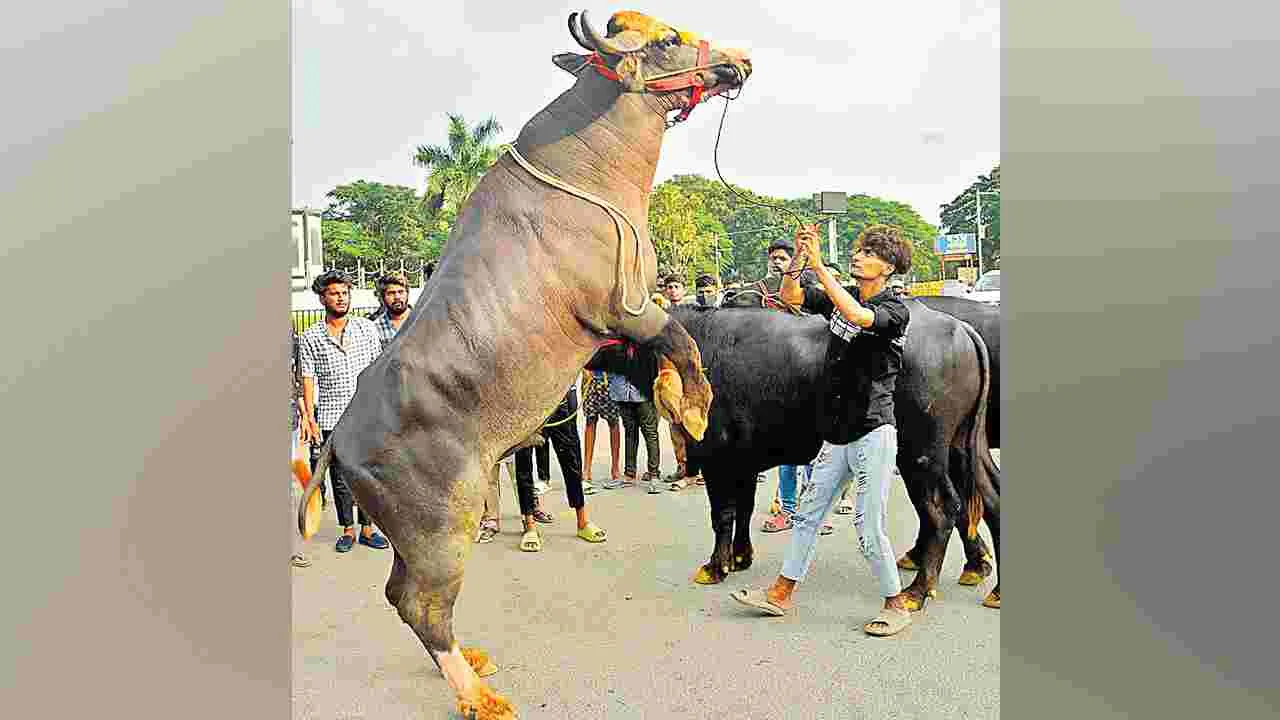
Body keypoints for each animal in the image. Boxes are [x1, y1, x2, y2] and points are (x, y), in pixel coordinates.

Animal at [293, 9, 747, 717]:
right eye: (668, 39)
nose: (738, 60)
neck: (589, 169)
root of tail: (337, 438)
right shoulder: (625, 309)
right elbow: (682, 340)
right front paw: (694, 409)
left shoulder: (616, 335)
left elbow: (665, 358)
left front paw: (676, 402)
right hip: (441, 524)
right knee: (420, 604)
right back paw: (477, 694)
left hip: (413, 531)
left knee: (399, 593)